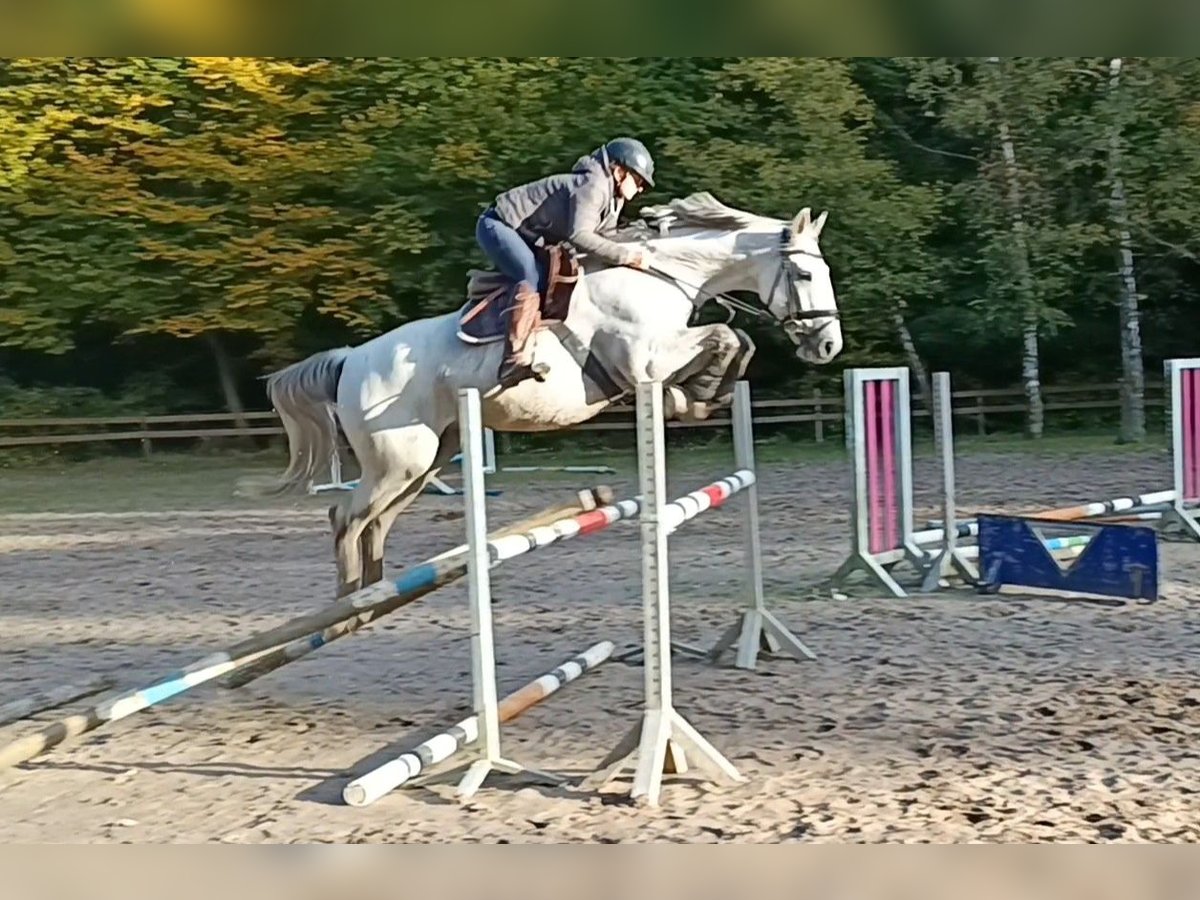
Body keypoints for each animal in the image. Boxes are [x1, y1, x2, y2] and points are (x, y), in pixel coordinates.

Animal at [262, 190, 844, 600]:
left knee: (376, 521)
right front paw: (695, 396)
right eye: (804, 272)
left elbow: (735, 341)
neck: (660, 276)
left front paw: (701, 396)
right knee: (346, 517)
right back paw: (348, 604)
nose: (828, 344)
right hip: (398, 461)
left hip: (427, 460)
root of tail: (351, 359)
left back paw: (378, 593)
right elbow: (724, 336)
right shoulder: (645, 360)